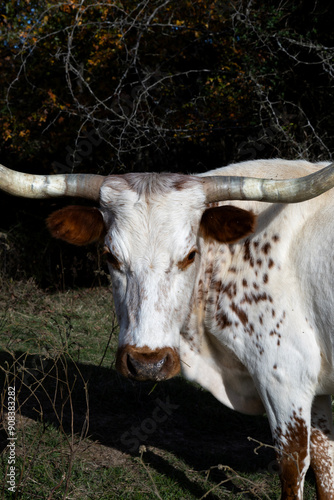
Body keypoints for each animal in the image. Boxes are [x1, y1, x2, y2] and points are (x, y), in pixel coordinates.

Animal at [1, 161, 334, 500]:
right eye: (111, 256)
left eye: (189, 255)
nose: (147, 363)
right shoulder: (317, 393)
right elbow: (324, 463)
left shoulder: (283, 377)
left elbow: (293, 465)